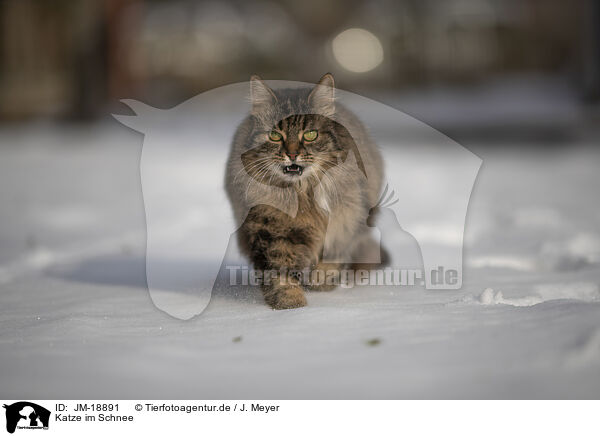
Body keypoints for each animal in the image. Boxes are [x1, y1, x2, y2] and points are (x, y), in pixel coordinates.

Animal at [225, 73, 384, 308]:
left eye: (310, 135)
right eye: (275, 135)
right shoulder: (271, 230)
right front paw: (291, 304)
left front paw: (320, 283)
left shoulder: (345, 222)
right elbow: (280, 273)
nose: (292, 155)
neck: (303, 195)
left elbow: (331, 259)